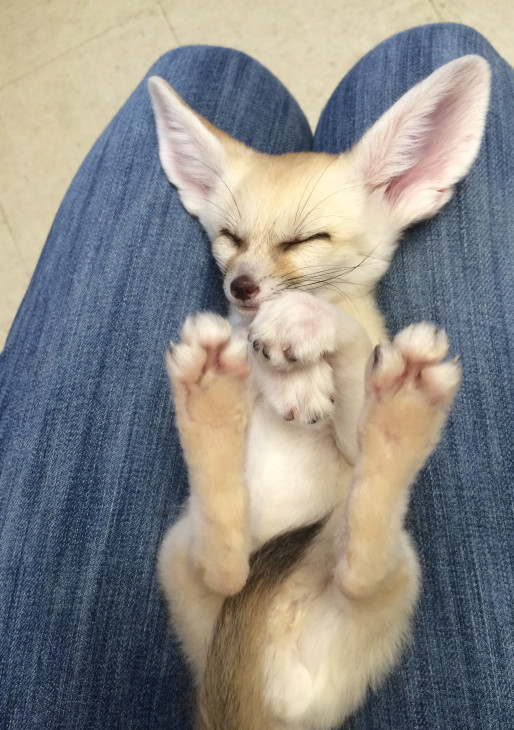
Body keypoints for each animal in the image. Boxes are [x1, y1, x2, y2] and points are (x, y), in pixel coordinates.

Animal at [148, 54, 490, 730]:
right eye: (228, 237)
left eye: (305, 241)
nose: (241, 286)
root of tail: (276, 696)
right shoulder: (239, 326)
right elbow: (253, 345)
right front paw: (286, 370)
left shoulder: (351, 422)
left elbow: (348, 337)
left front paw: (303, 329)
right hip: (183, 550)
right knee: (227, 566)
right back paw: (211, 392)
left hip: (396, 573)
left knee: (358, 568)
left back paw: (404, 405)